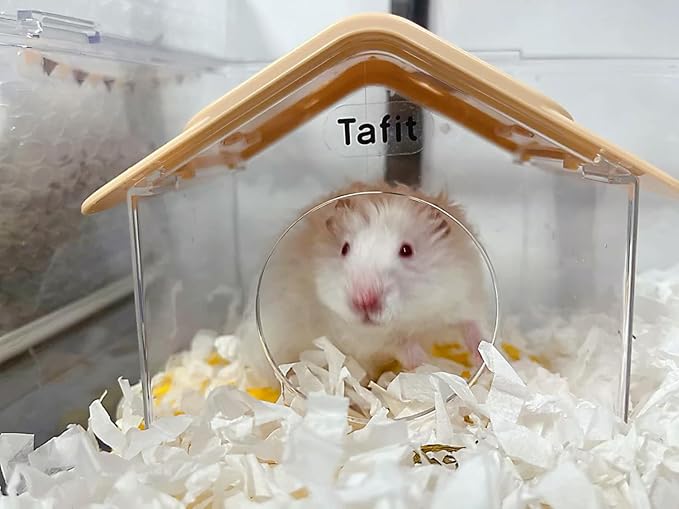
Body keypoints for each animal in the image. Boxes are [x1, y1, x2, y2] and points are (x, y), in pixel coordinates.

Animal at [236, 180, 491, 387]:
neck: (412, 315)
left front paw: (484, 360)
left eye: (406, 250)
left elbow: (473, 328)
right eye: (344, 248)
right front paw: (431, 366)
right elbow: (401, 344)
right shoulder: (359, 335)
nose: (364, 301)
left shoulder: (464, 294)